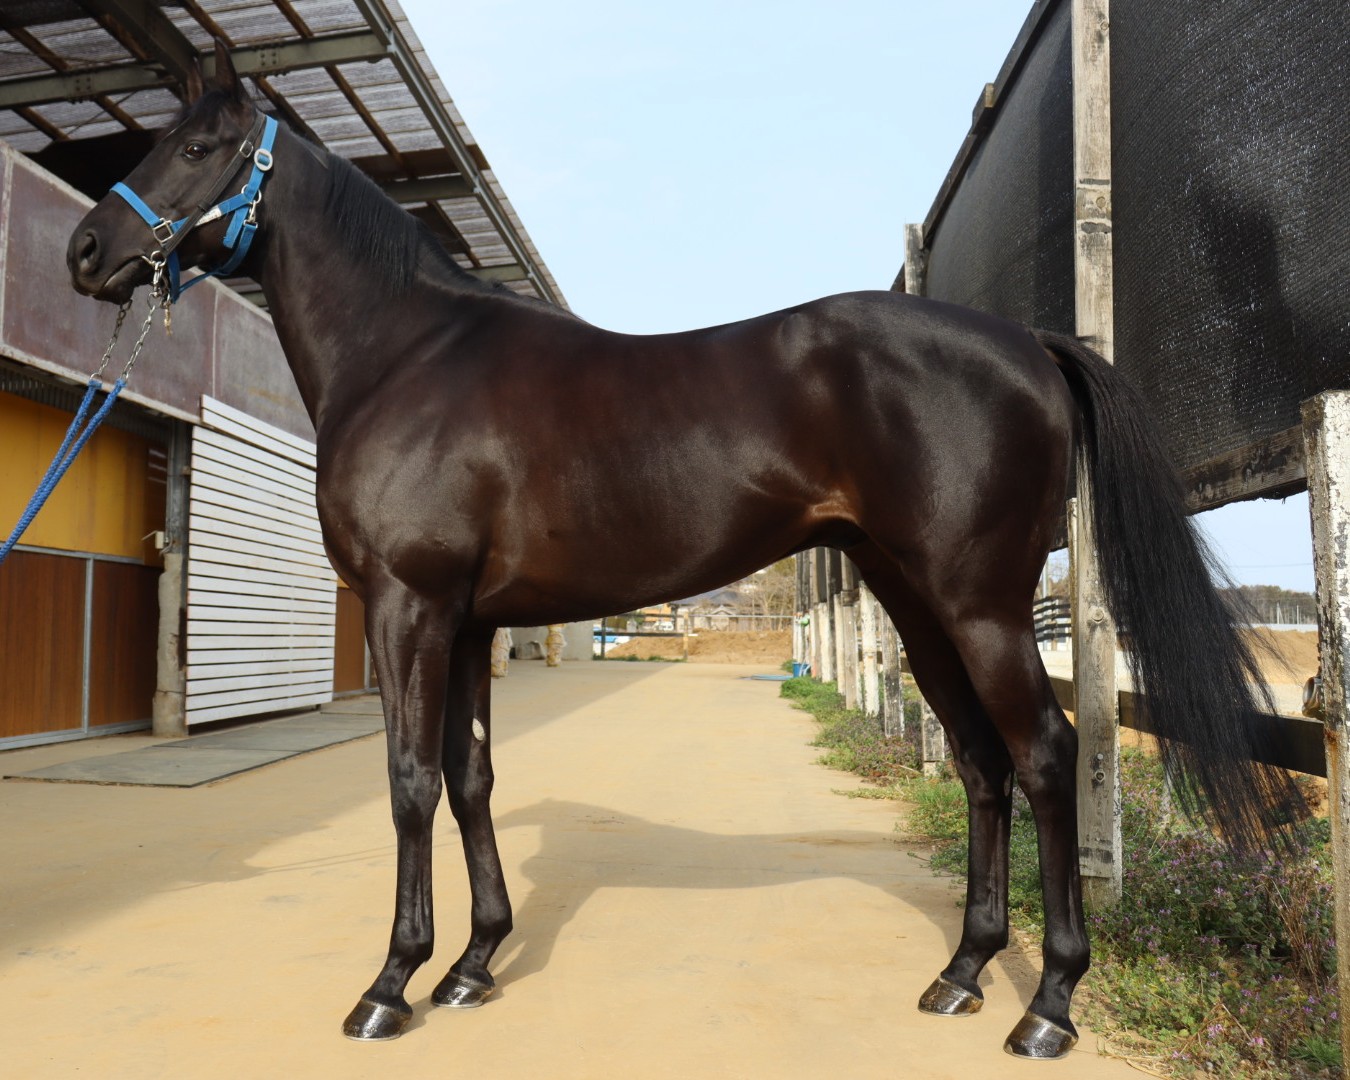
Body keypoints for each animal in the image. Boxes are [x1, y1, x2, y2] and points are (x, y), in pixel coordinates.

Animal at [66, 44, 1297, 1059]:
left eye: (198, 147)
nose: (86, 250)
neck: (409, 354)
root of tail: (1032, 344)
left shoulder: (407, 606)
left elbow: (410, 779)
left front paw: (391, 985)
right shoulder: (465, 620)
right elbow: (470, 777)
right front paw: (474, 964)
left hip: (981, 603)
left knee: (1043, 755)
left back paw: (1046, 1009)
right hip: (916, 600)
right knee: (980, 761)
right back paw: (960, 974)